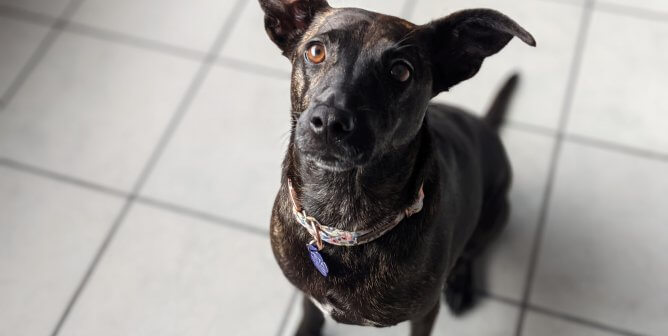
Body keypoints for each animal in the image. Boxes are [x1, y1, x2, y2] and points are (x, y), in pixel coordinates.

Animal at [258, 1, 536, 334]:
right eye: (315, 51)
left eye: (400, 71)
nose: (329, 121)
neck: (344, 221)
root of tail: (484, 123)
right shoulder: (306, 292)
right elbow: (309, 312)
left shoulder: (425, 312)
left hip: (495, 216)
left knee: (470, 254)